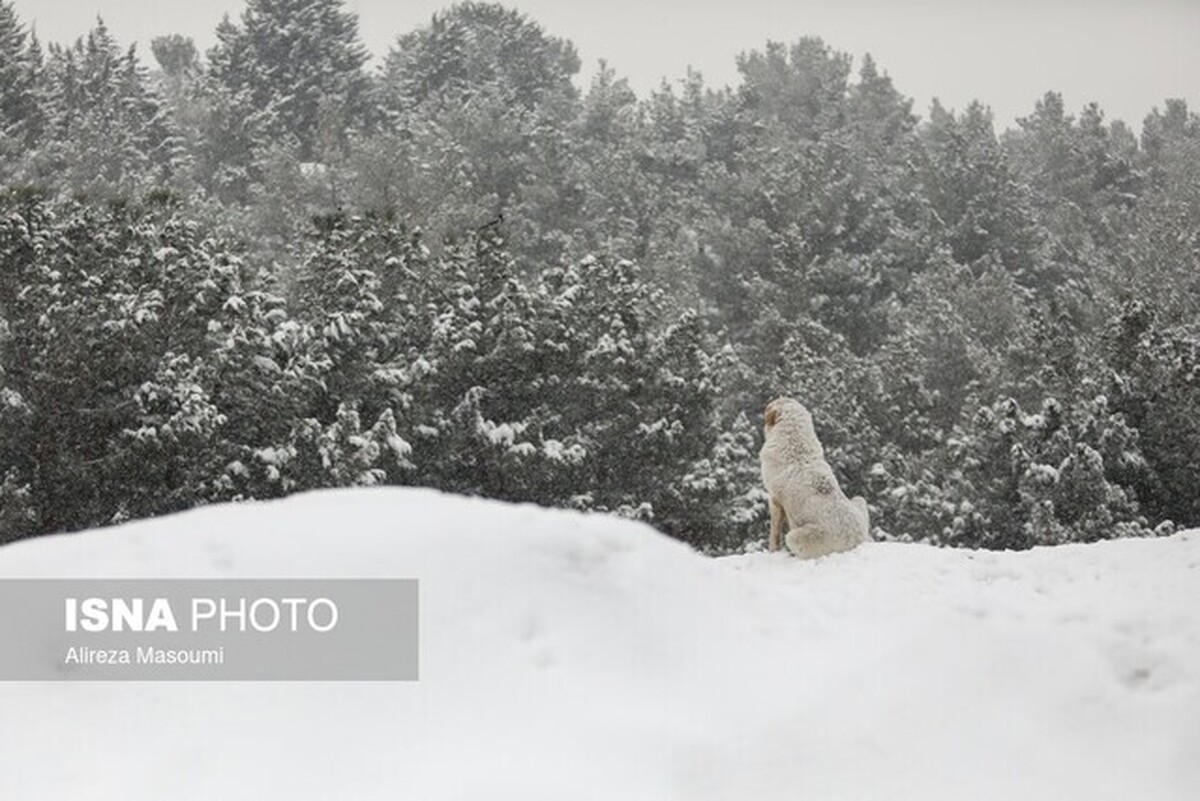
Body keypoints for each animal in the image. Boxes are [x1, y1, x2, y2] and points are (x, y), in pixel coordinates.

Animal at [758, 398, 873, 561]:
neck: (795, 446)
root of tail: (856, 542)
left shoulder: (774, 500)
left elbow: (774, 532)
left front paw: (772, 551)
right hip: (859, 500)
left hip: (795, 537)